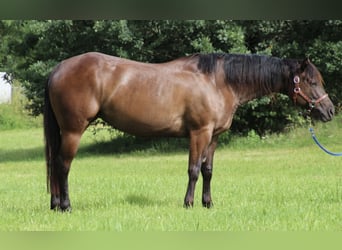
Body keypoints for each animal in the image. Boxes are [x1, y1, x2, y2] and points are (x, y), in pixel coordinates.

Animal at [44, 52, 336, 211]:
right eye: (311, 81)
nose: (330, 111)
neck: (218, 81)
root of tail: (59, 68)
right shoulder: (199, 133)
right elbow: (193, 170)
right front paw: (188, 203)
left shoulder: (214, 136)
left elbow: (208, 170)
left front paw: (208, 203)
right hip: (73, 130)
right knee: (63, 165)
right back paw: (66, 206)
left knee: (56, 165)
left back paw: (56, 205)